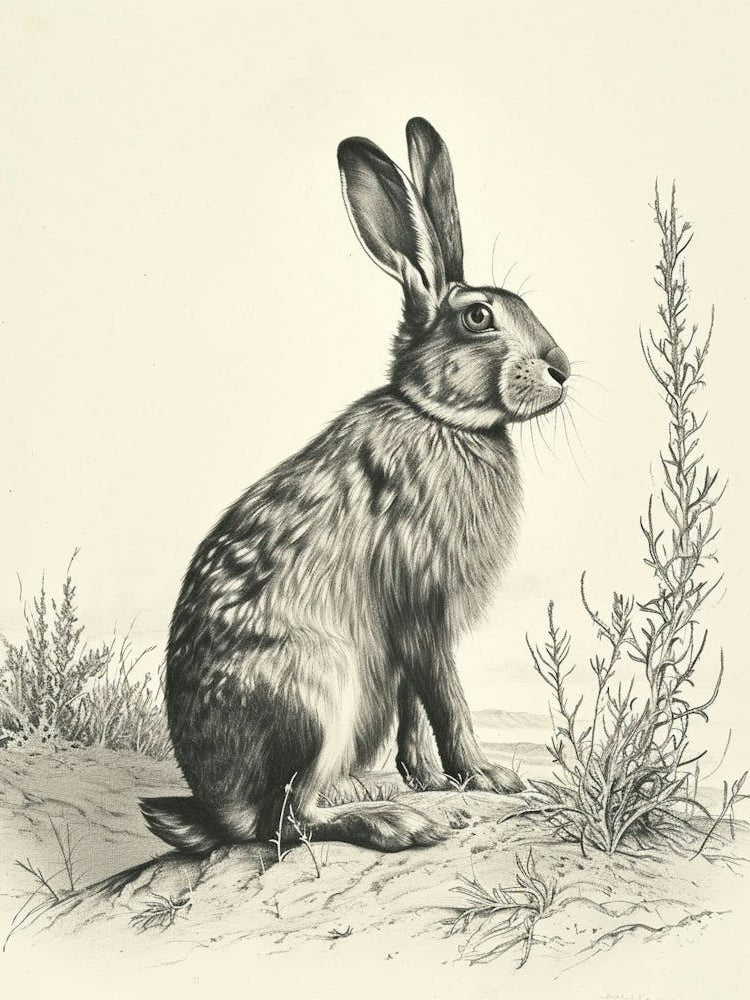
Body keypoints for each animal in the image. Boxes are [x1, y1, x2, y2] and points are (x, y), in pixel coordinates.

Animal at [140, 117, 570, 855]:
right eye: (479, 318)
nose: (562, 367)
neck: (438, 416)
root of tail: (213, 807)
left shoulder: (407, 636)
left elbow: (414, 708)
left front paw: (427, 777)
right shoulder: (423, 605)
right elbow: (446, 699)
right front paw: (485, 777)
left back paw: (373, 791)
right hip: (316, 691)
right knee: (287, 820)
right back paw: (397, 822)